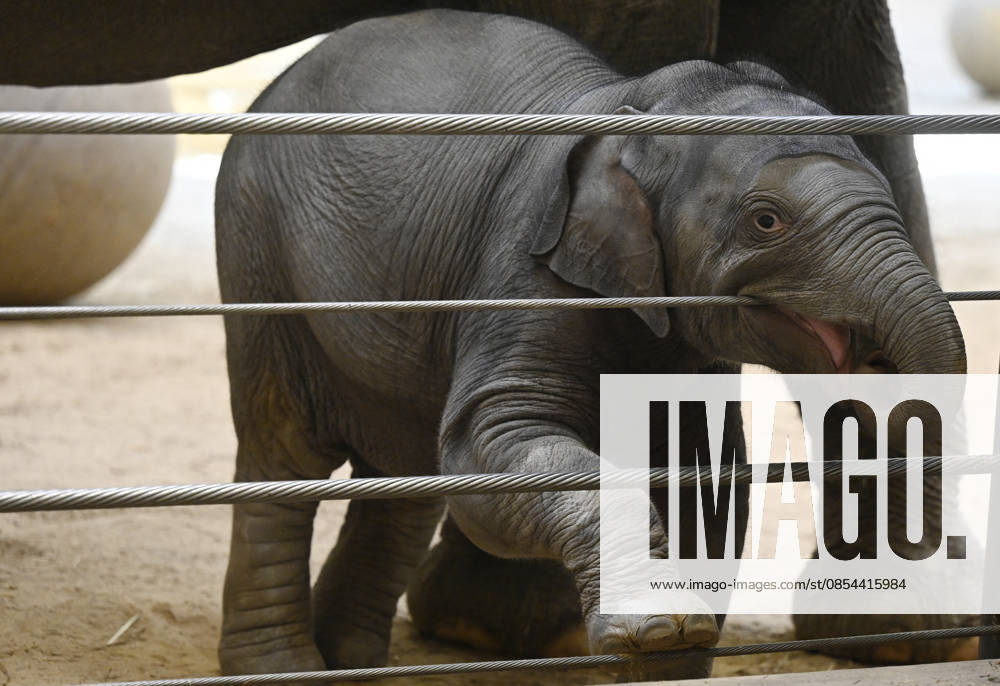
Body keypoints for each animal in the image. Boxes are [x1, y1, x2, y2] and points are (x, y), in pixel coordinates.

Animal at [212, 9, 967, 679]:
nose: (874, 360)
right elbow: (490, 450)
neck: (641, 102)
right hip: (258, 257)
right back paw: (283, 669)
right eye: (767, 221)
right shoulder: (523, 269)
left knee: (405, 474)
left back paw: (350, 662)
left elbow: (704, 477)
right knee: (286, 453)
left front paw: (670, 656)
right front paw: (656, 633)